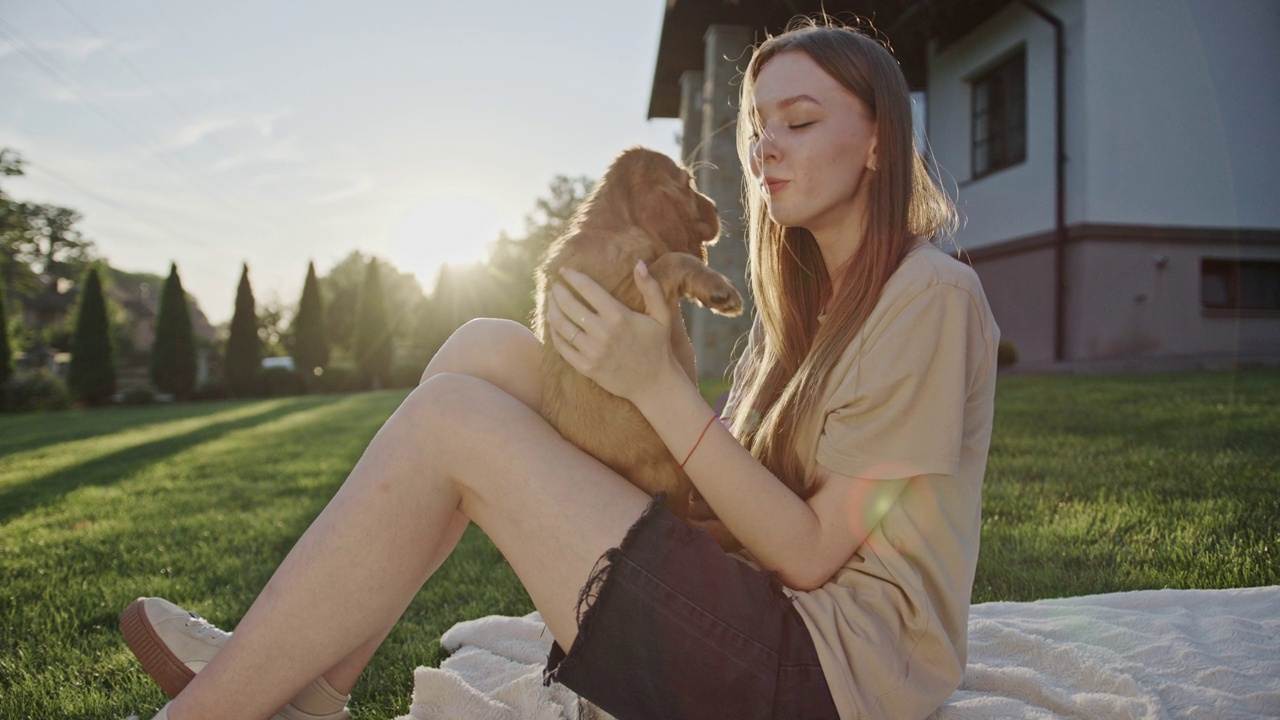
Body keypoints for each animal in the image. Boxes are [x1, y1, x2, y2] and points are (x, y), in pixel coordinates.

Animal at [535, 146, 747, 517]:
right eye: (687, 183)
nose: (717, 207)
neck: (613, 226)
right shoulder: (620, 298)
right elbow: (670, 260)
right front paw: (717, 289)